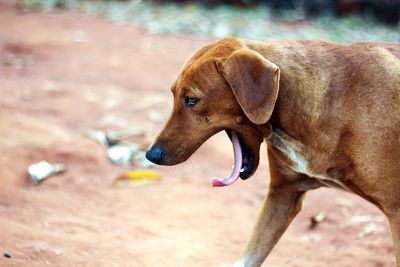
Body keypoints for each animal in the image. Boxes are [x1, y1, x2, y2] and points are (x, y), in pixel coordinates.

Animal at [146, 38, 400, 267]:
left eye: (192, 100)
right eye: (173, 95)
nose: (151, 155)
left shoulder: (396, 211)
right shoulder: (282, 194)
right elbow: (248, 257)